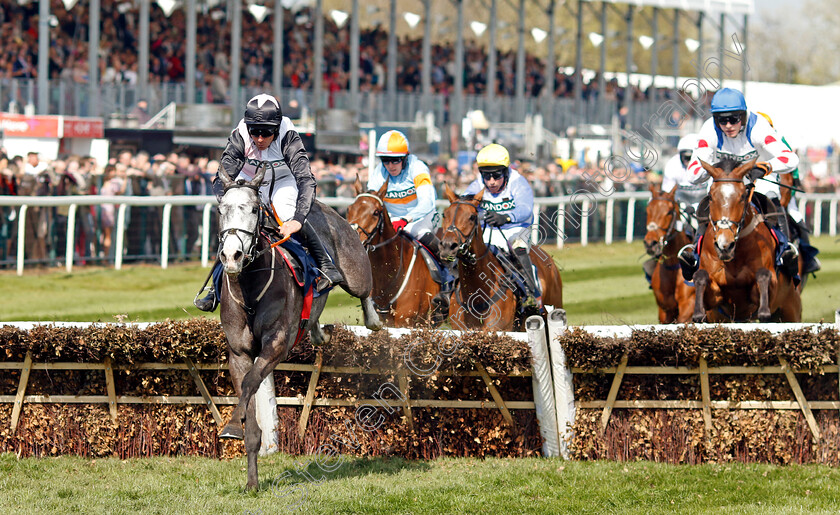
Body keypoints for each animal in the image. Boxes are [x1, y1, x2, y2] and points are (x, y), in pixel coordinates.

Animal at [213, 163, 380, 490]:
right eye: (220, 209)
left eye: (254, 209)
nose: (231, 256)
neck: (250, 289)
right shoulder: (239, 353)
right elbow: (247, 392)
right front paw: (251, 479)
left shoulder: (277, 345)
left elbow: (251, 383)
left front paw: (232, 425)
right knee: (316, 316)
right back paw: (317, 332)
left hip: (354, 268)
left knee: (365, 288)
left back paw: (373, 319)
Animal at [692, 159, 804, 324]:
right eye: (711, 196)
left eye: (742, 196)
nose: (725, 245)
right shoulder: (715, 299)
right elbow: (700, 276)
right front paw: (698, 313)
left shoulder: (769, 286)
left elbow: (763, 275)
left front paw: (764, 312)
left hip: (791, 310)